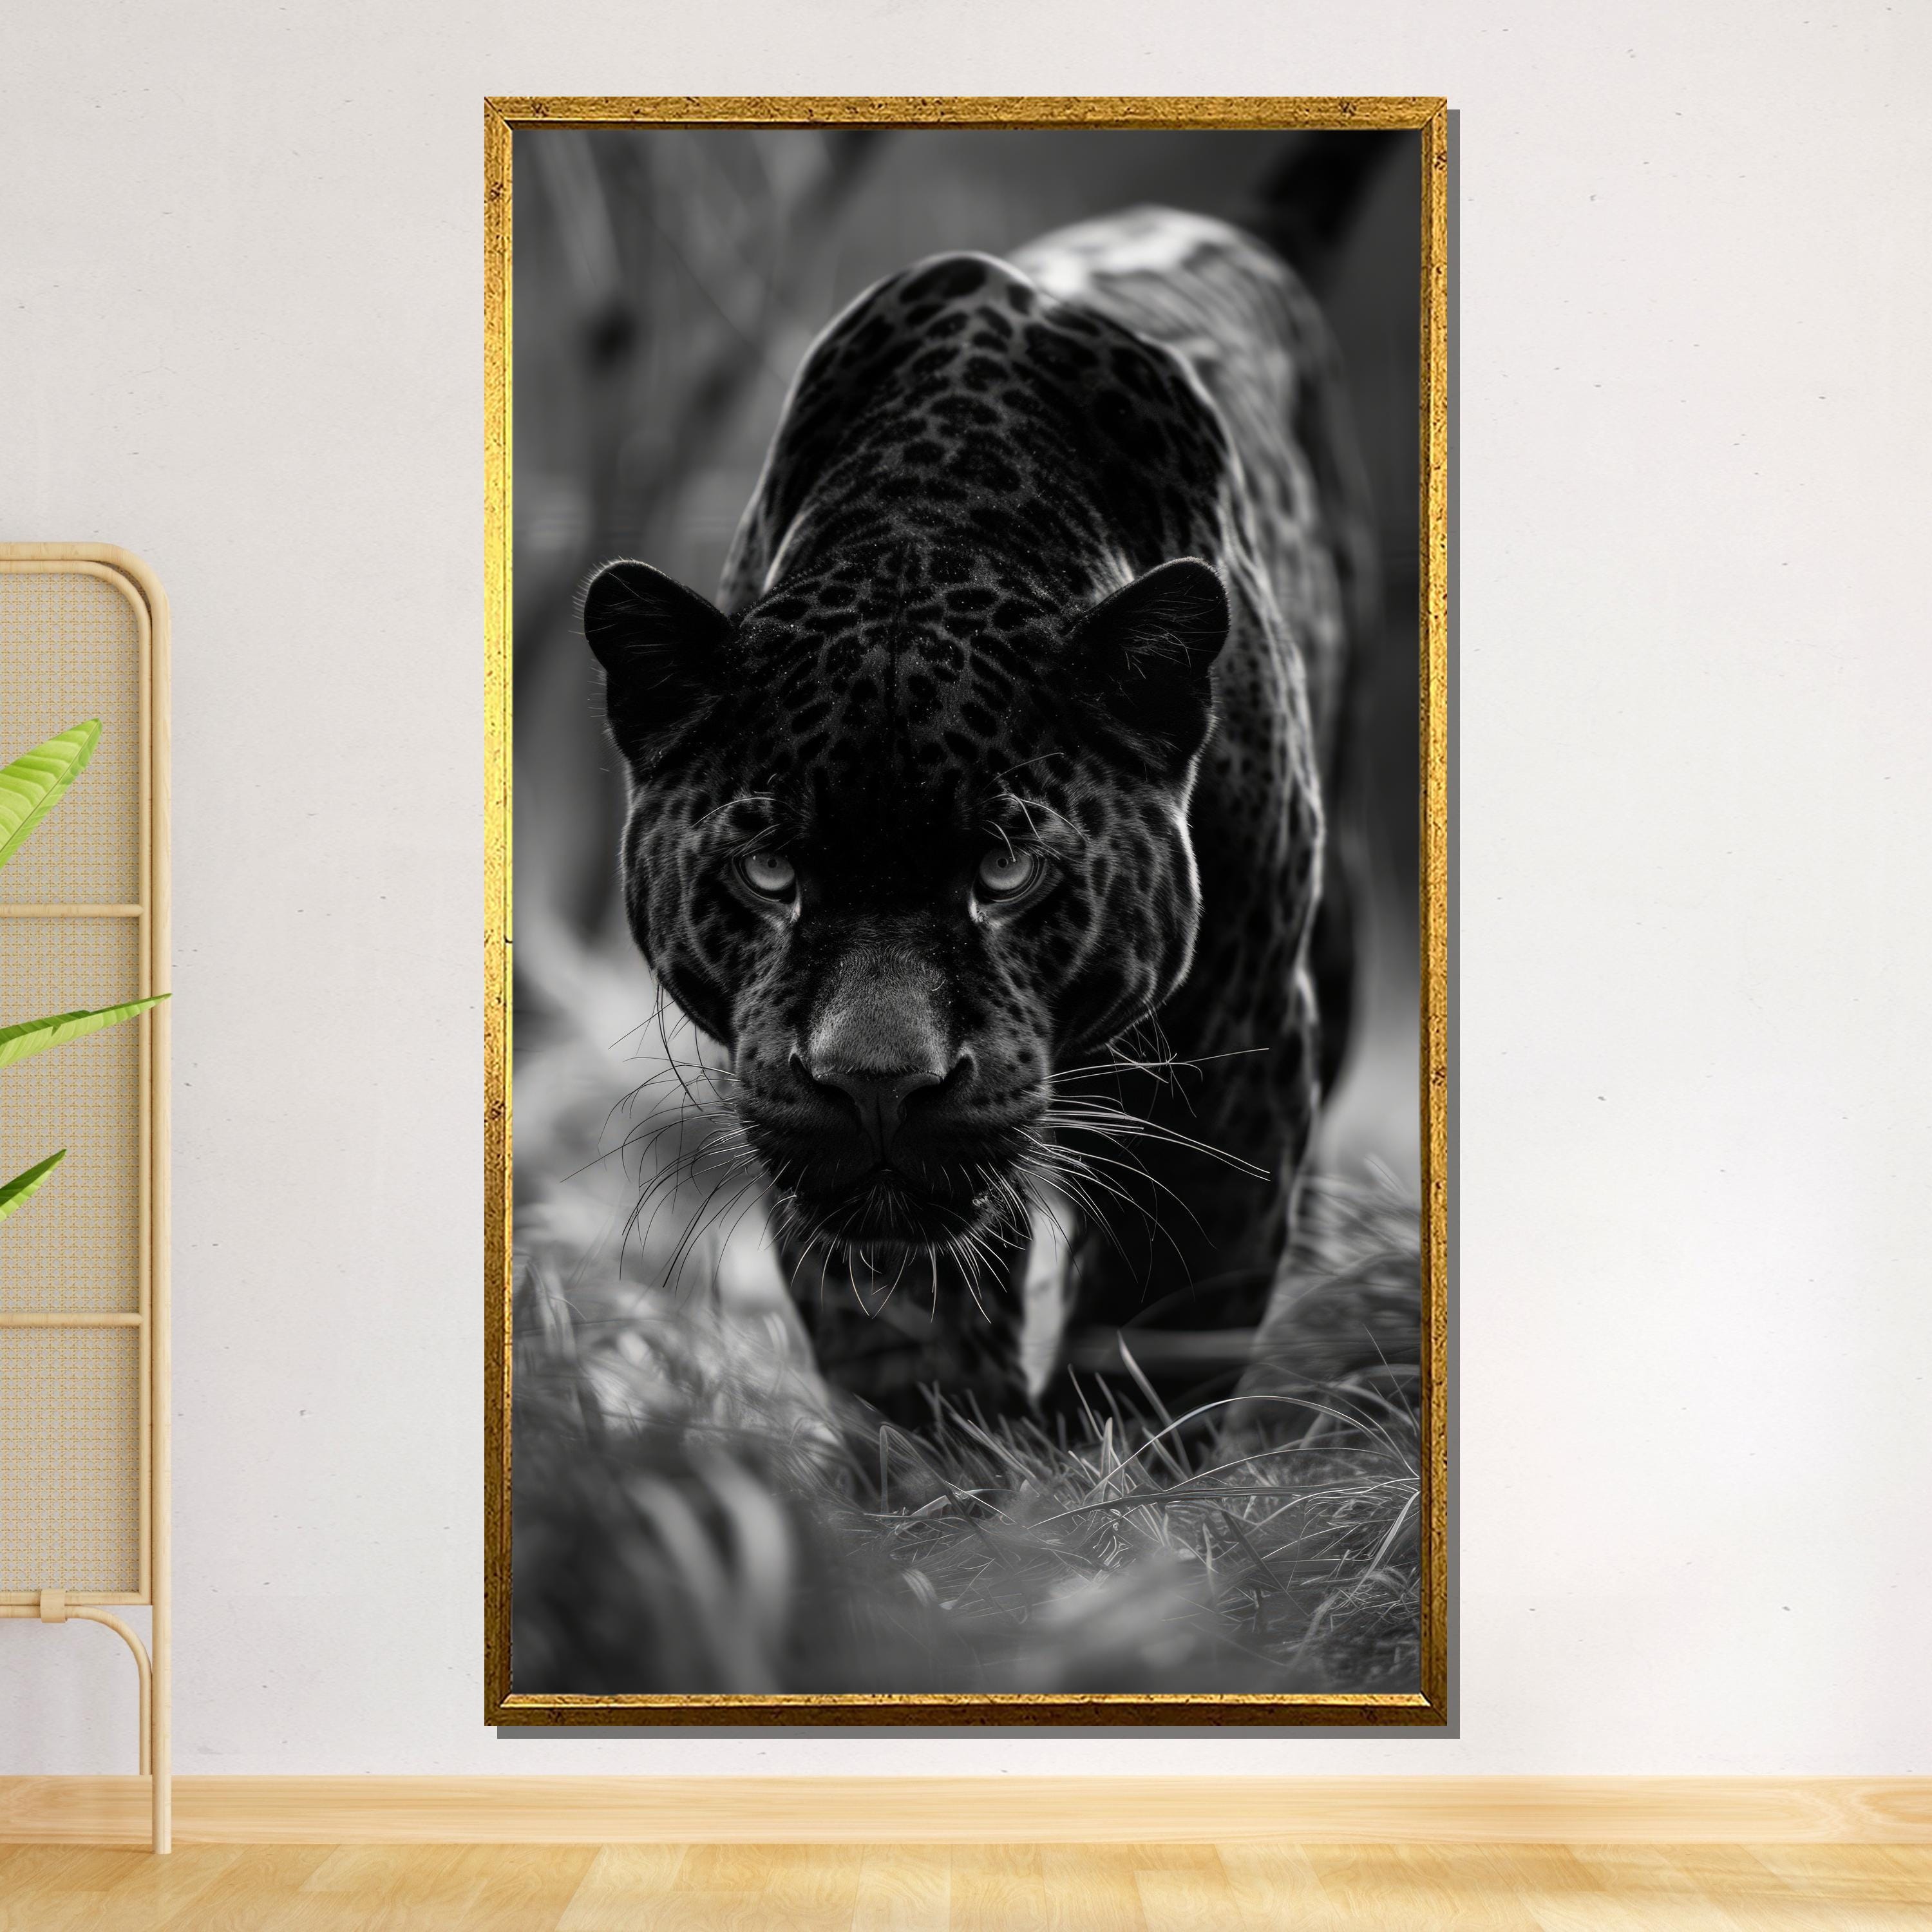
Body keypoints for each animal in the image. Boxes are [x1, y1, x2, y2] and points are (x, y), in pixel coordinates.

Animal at [583, 200, 1379, 1426]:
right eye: (770, 874)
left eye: (1008, 874)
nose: (876, 1084)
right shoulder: (777, 1097)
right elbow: (904, 1336)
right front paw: (958, 1468)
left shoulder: (1237, 1055)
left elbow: (1159, 1329)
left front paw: (1099, 1476)